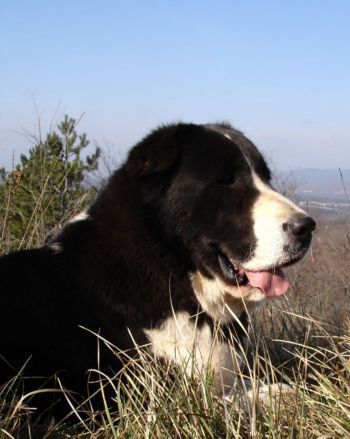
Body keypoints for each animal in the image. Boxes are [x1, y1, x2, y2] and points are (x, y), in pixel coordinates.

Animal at [0, 122, 314, 414]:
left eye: (266, 178)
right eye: (225, 181)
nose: (306, 227)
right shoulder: (151, 396)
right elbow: (242, 399)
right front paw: (282, 398)